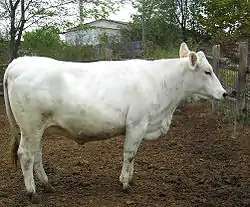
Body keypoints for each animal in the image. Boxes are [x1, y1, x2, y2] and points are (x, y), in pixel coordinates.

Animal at [3, 42, 227, 203]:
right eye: (207, 71)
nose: (225, 93)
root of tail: (18, 62)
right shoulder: (137, 124)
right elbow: (129, 154)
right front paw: (126, 183)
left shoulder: (139, 127)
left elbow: (134, 155)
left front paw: (129, 178)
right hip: (30, 126)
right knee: (26, 155)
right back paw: (32, 193)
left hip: (39, 128)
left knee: (37, 155)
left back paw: (47, 185)